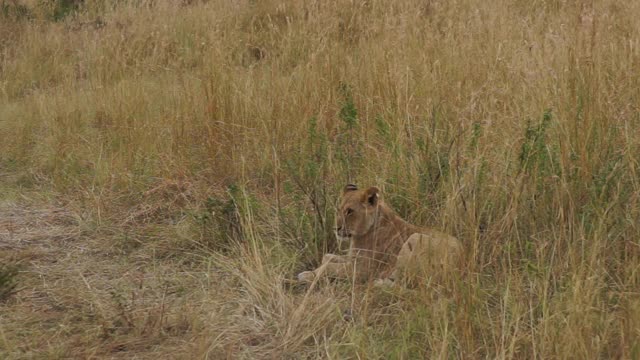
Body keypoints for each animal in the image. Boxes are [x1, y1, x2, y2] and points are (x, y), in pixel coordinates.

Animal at [298, 184, 462, 286]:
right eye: (339, 209)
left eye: (350, 211)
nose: (336, 228)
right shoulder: (353, 258)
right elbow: (327, 257)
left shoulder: (362, 270)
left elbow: (328, 267)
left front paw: (306, 275)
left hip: (415, 238)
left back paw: (379, 283)